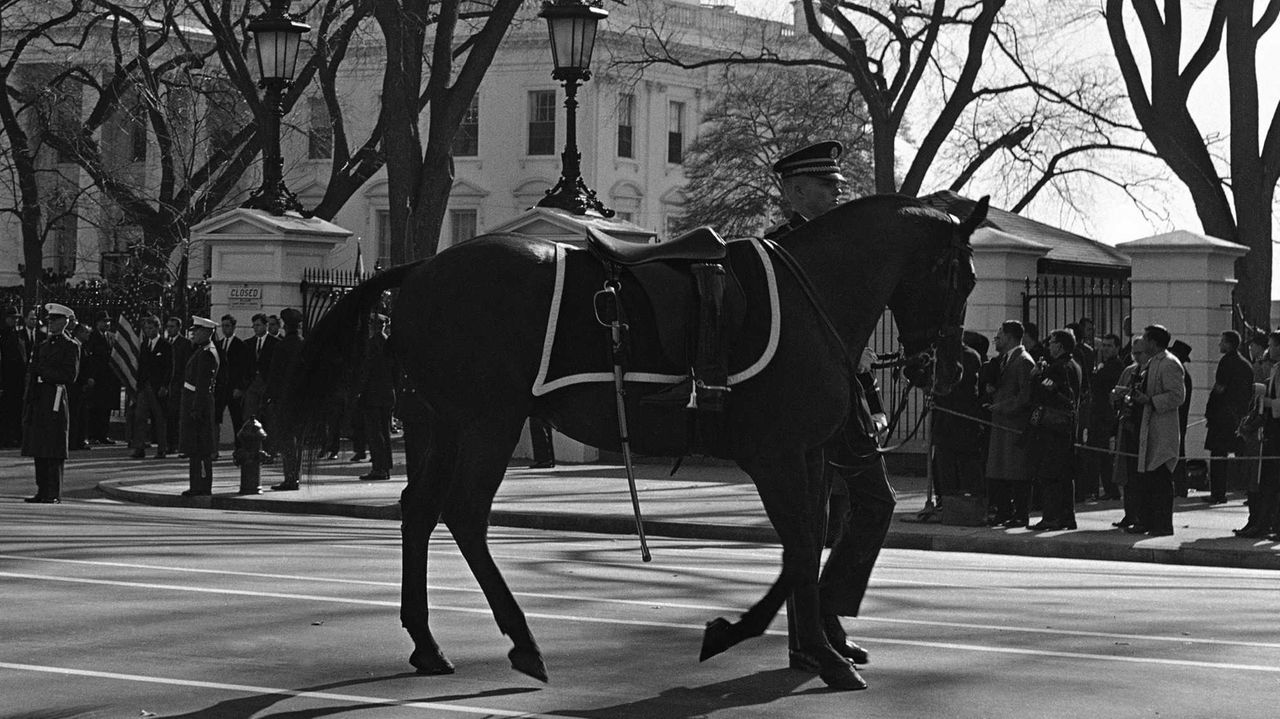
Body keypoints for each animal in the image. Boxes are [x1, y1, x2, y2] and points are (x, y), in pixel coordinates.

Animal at [277, 190, 977, 690]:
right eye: (959, 277)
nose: (948, 368)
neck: (813, 296)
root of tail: (423, 267)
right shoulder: (778, 455)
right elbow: (801, 547)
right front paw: (813, 653)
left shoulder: (807, 455)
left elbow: (802, 547)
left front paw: (799, 643)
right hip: (486, 423)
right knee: (465, 514)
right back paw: (523, 643)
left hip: (438, 425)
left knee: (419, 512)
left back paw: (427, 645)